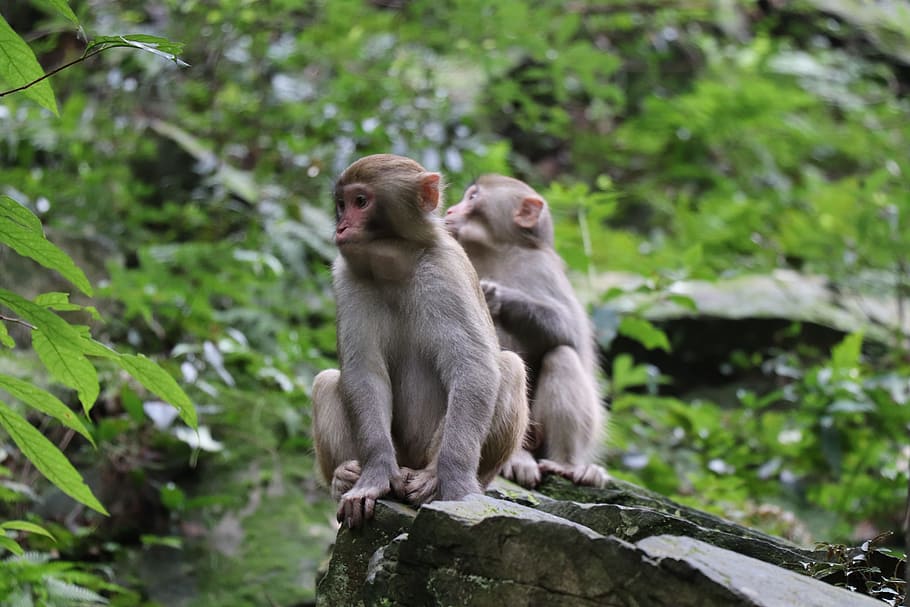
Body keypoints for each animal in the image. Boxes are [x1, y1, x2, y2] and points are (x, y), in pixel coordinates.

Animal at [311, 155, 529, 528]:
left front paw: (455, 483)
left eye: (360, 202)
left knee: (508, 366)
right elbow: (364, 373)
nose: (341, 227)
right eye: (341, 204)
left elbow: (472, 368)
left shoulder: (445, 272)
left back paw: (430, 479)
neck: (395, 266)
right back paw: (344, 476)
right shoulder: (347, 277)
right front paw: (374, 474)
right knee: (326, 381)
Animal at [444, 174, 609, 489]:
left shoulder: (542, 268)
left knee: (561, 355)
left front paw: (498, 296)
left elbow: (569, 330)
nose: (449, 210)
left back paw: (566, 464)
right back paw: (518, 459)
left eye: (473, 197)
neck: (495, 251)